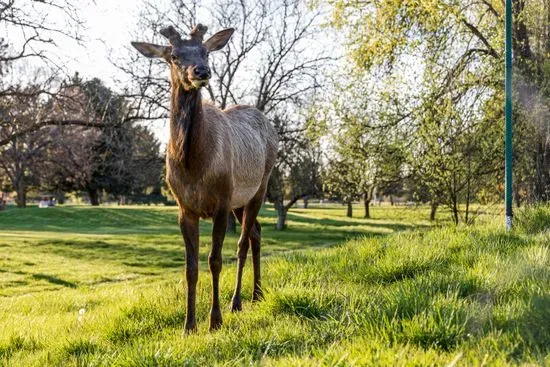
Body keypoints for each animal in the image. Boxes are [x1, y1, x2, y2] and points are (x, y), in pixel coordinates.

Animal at [133, 24, 280, 332]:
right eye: (174, 55)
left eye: (205, 51)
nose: (201, 71)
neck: (193, 167)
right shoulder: (184, 207)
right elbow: (190, 268)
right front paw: (189, 325)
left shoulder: (221, 201)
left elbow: (215, 260)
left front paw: (215, 320)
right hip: (240, 201)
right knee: (256, 232)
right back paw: (257, 294)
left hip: (259, 184)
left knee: (243, 243)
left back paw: (238, 301)